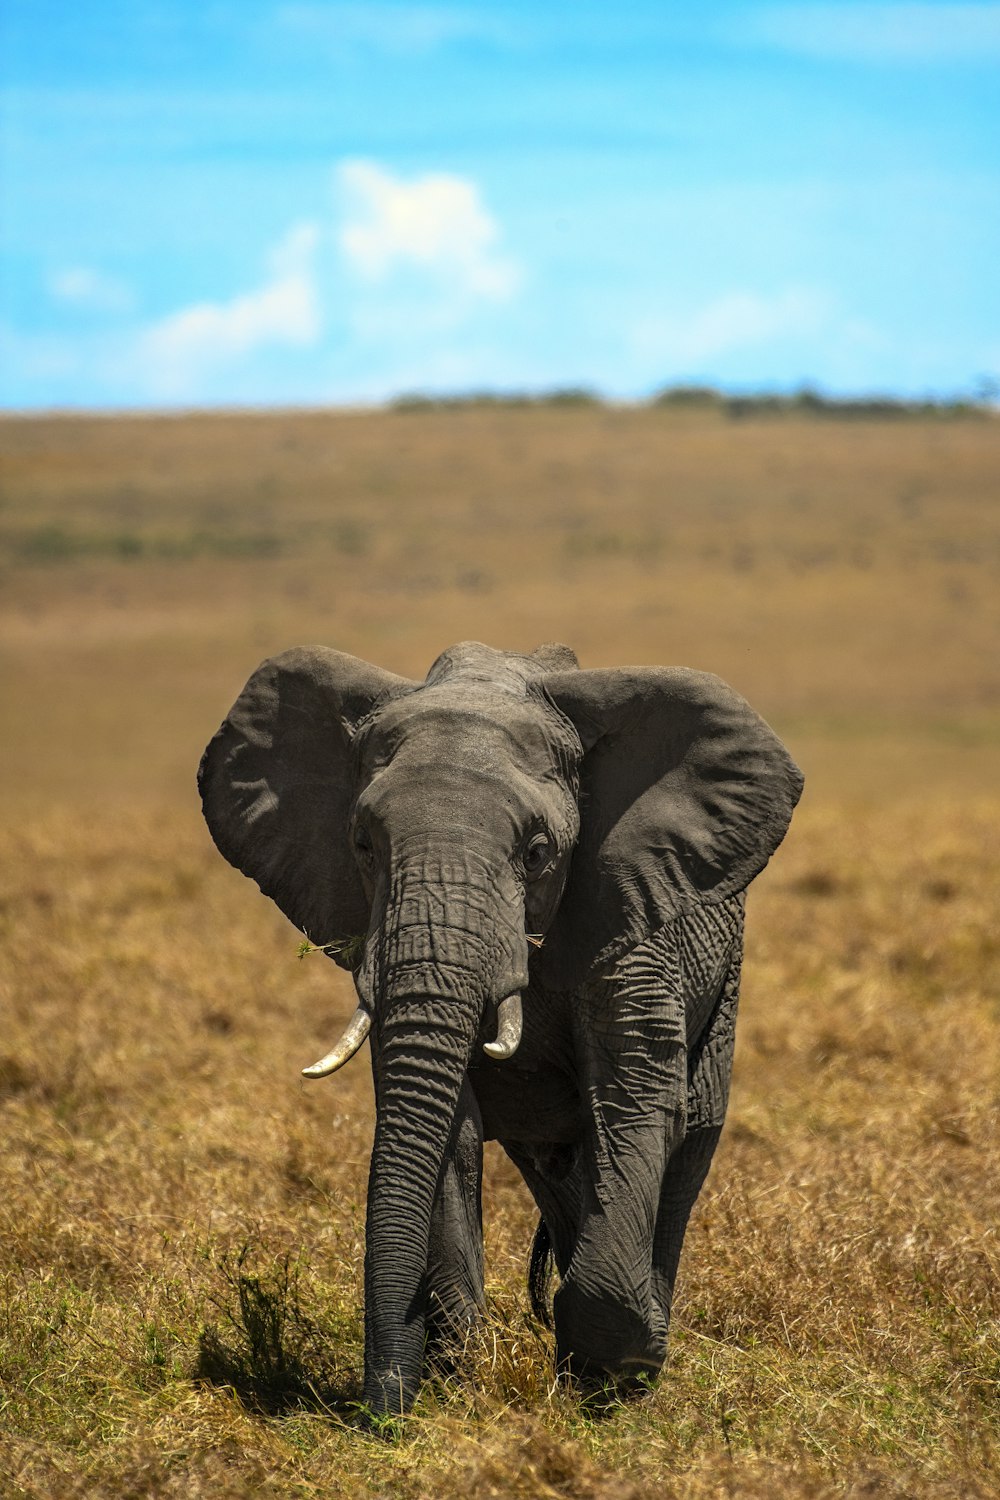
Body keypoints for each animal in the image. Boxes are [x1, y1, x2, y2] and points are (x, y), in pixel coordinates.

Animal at [199, 639, 803, 1410]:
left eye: (538, 852)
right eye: (363, 845)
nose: (379, 1414)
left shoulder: (631, 906)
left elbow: (635, 1089)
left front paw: (617, 1377)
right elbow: (447, 1124)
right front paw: (462, 1380)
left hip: (724, 975)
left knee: (691, 1132)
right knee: (559, 1167)